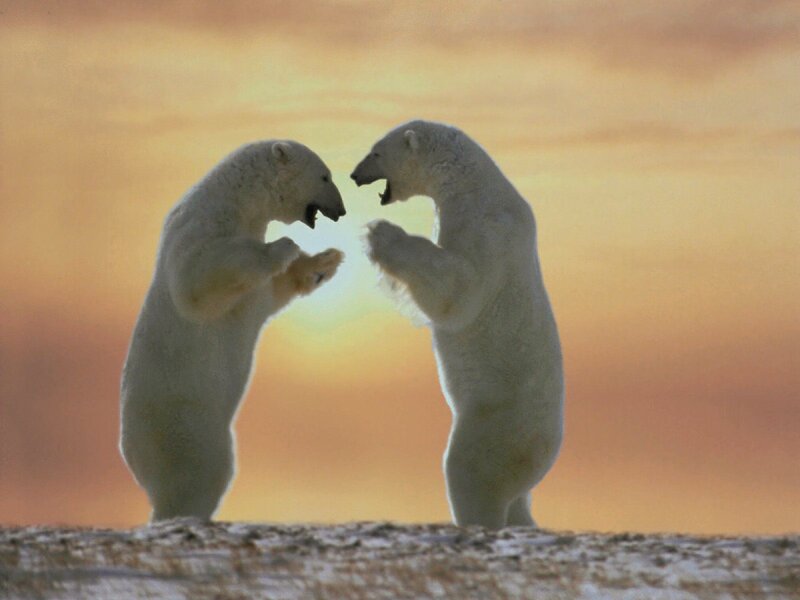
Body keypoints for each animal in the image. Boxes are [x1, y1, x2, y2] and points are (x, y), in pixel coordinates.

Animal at [120, 140, 346, 522]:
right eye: (325, 176)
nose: (342, 211)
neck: (237, 199)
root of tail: (132, 454)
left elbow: (271, 291)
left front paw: (326, 261)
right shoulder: (201, 226)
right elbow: (198, 280)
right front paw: (284, 246)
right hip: (186, 426)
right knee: (201, 476)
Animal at [351, 120, 564, 529]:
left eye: (376, 152)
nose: (354, 176)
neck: (475, 186)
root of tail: (549, 450)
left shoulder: (487, 229)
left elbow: (460, 290)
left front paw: (380, 233)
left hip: (497, 425)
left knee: (471, 472)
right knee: (518, 501)